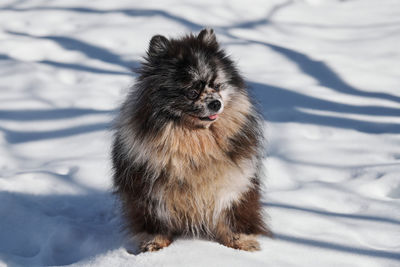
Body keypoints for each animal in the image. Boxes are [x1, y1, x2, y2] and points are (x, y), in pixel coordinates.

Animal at [111, 29, 270, 253]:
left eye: (217, 86)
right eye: (192, 92)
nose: (216, 103)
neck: (195, 140)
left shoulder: (235, 184)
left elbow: (232, 216)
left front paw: (241, 243)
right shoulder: (150, 192)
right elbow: (157, 221)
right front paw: (155, 244)